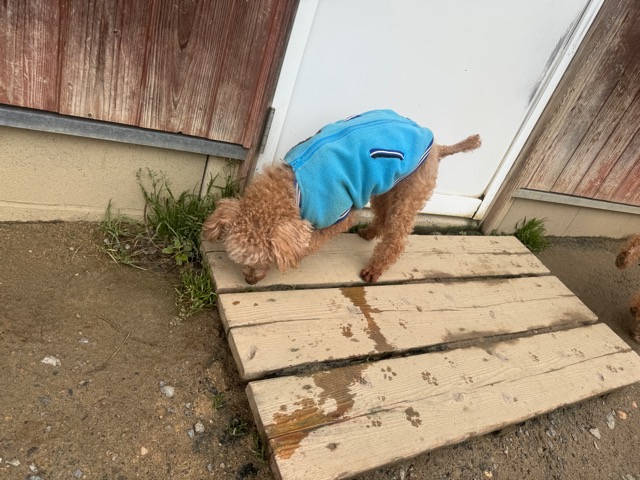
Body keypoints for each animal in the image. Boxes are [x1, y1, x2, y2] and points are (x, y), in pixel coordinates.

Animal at [203, 109, 480, 285]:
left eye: (264, 259)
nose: (248, 280)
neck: (292, 189)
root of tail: (437, 148)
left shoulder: (340, 214)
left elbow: (312, 242)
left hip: (410, 193)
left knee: (397, 238)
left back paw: (374, 269)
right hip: (386, 187)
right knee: (382, 215)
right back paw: (369, 233)